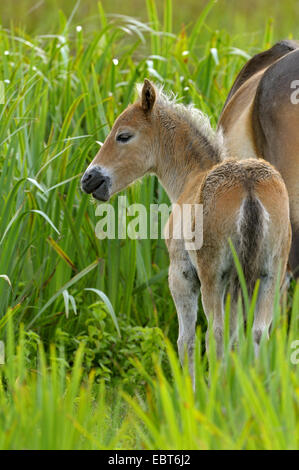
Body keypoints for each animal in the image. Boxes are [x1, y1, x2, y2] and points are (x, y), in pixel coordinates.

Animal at [81, 80, 292, 382]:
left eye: (123, 136)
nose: (89, 178)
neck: (192, 176)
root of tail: (248, 185)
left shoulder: (182, 273)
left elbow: (187, 340)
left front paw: (190, 388)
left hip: (213, 276)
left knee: (216, 334)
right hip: (270, 273)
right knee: (258, 334)